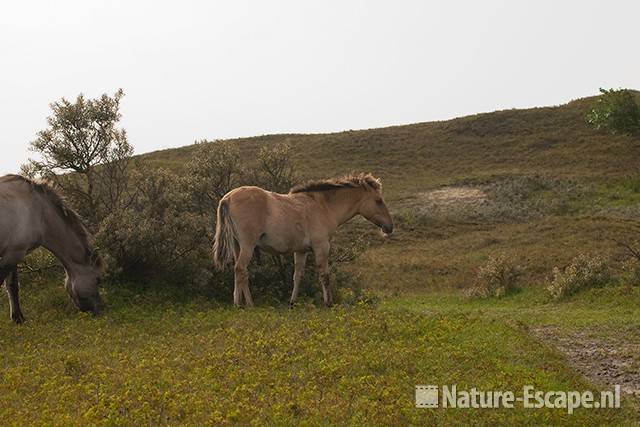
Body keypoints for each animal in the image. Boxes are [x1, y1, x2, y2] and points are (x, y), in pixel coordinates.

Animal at [0, 175, 102, 324]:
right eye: (98, 280)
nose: (98, 309)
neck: (38, 211)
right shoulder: (14, 254)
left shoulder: (13, 252)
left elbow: (12, 286)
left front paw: (18, 318)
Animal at [212, 174, 392, 308]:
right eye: (378, 200)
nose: (390, 227)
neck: (323, 206)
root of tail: (227, 198)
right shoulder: (321, 247)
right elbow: (324, 275)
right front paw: (329, 303)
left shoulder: (301, 251)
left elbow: (297, 276)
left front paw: (293, 302)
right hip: (248, 246)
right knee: (240, 269)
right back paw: (240, 304)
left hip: (238, 246)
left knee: (243, 273)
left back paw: (247, 303)